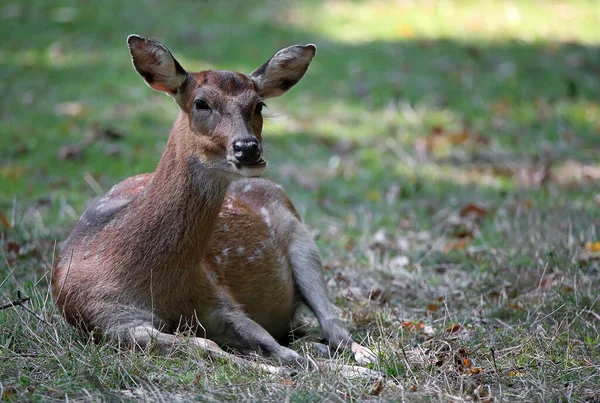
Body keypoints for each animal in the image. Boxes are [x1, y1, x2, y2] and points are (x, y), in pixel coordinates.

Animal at [54, 34, 378, 376]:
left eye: (259, 104)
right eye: (201, 103)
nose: (248, 148)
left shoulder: (218, 297)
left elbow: (279, 350)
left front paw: (354, 372)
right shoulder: (109, 319)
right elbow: (205, 346)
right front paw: (275, 370)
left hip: (301, 238)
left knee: (332, 324)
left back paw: (365, 356)